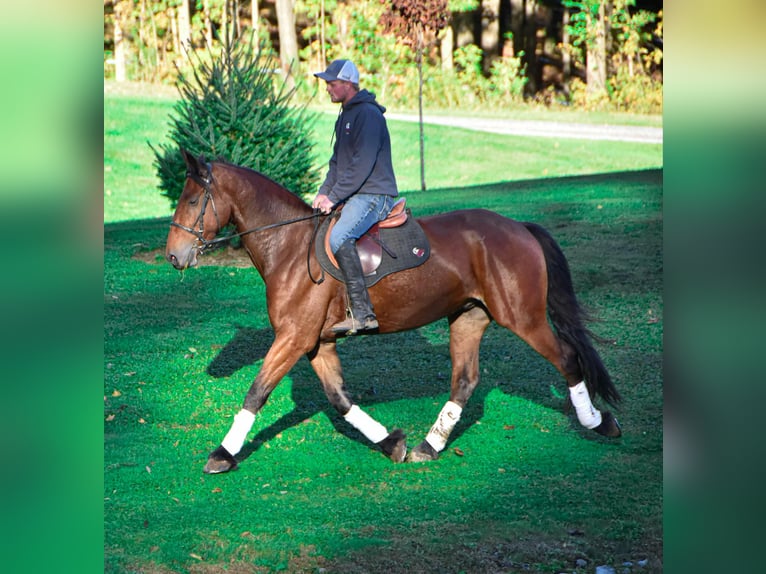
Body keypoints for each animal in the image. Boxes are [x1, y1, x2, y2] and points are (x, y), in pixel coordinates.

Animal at [165, 150, 622, 474]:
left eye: (192, 200)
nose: (173, 256)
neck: (289, 247)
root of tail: (518, 227)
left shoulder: (293, 338)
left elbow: (257, 391)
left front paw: (223, 453)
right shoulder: (316, 343)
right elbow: (340, 399)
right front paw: (391, 442)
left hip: (523, 317)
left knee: (567, 358)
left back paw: (598, 423)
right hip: (468, 317)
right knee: (464, 381)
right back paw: (428, 446)